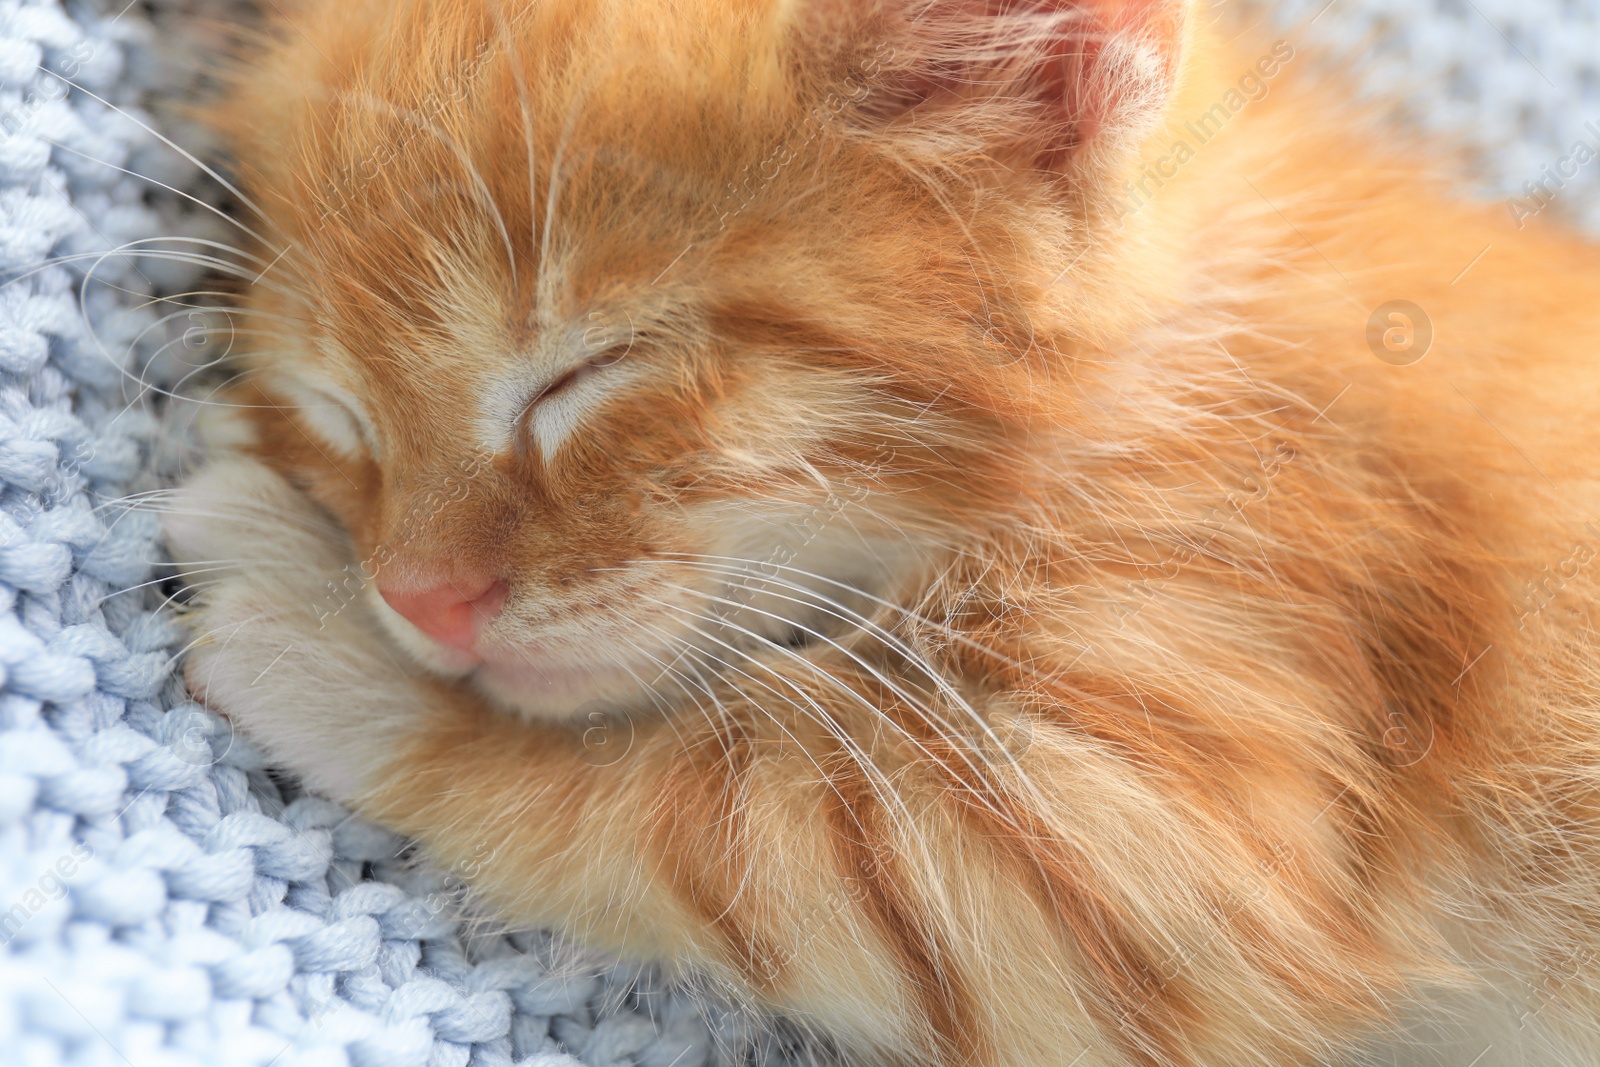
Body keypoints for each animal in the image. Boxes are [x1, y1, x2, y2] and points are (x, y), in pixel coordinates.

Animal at [165, 0, 1600, 1062]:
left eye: (590, 371)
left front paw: (314, 631)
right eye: (334, 407)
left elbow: (677, 810)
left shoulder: (1171, 802)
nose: (421, 597)